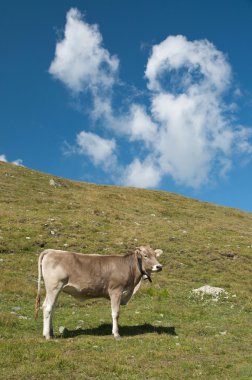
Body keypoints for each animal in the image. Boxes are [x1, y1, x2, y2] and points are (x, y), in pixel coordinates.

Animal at [34, 246, 162, 342]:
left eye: (155, 255)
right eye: (145, 255)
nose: (159, 266)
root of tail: (51, 251)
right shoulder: (116, 291)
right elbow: (115, 313)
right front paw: (116, 334)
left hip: (55, 289)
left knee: (50, 308)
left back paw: (50, 332)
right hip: (54, 287)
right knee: (47, 307)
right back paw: (48, 336)